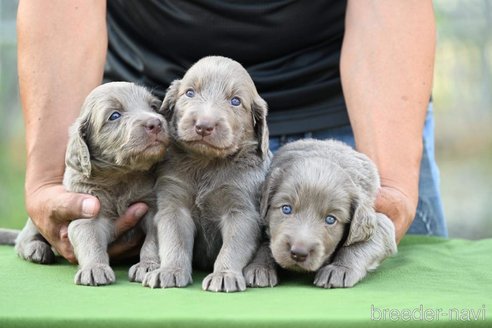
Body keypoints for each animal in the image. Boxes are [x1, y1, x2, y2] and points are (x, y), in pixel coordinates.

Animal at [14, 82, 169, 288]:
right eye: (114, 115)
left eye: (153, 107)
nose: (156, 123)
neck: (122, 177)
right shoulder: (87, 213)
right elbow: (90, 241)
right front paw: (94, 269)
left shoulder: (152, 208)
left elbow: (152, 241)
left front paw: (148, 265)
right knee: (23, 238)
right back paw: (35, 248)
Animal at [131, 55, 270, 292]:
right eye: (189, 93)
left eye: (235, 101)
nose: (204, 126)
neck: (206, 164)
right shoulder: (174, 205)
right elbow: (174, 241)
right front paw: (170, 271)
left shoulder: (241, 211)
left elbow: (232, 247)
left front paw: (224, 275)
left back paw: (261, 270)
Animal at [252, 140, 398, 288]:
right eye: (286, 209)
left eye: (330, 219)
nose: (298, 253)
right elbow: (265, 245)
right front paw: (259, 267)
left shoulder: (381, 220)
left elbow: (359, 244)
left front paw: (340, 269)